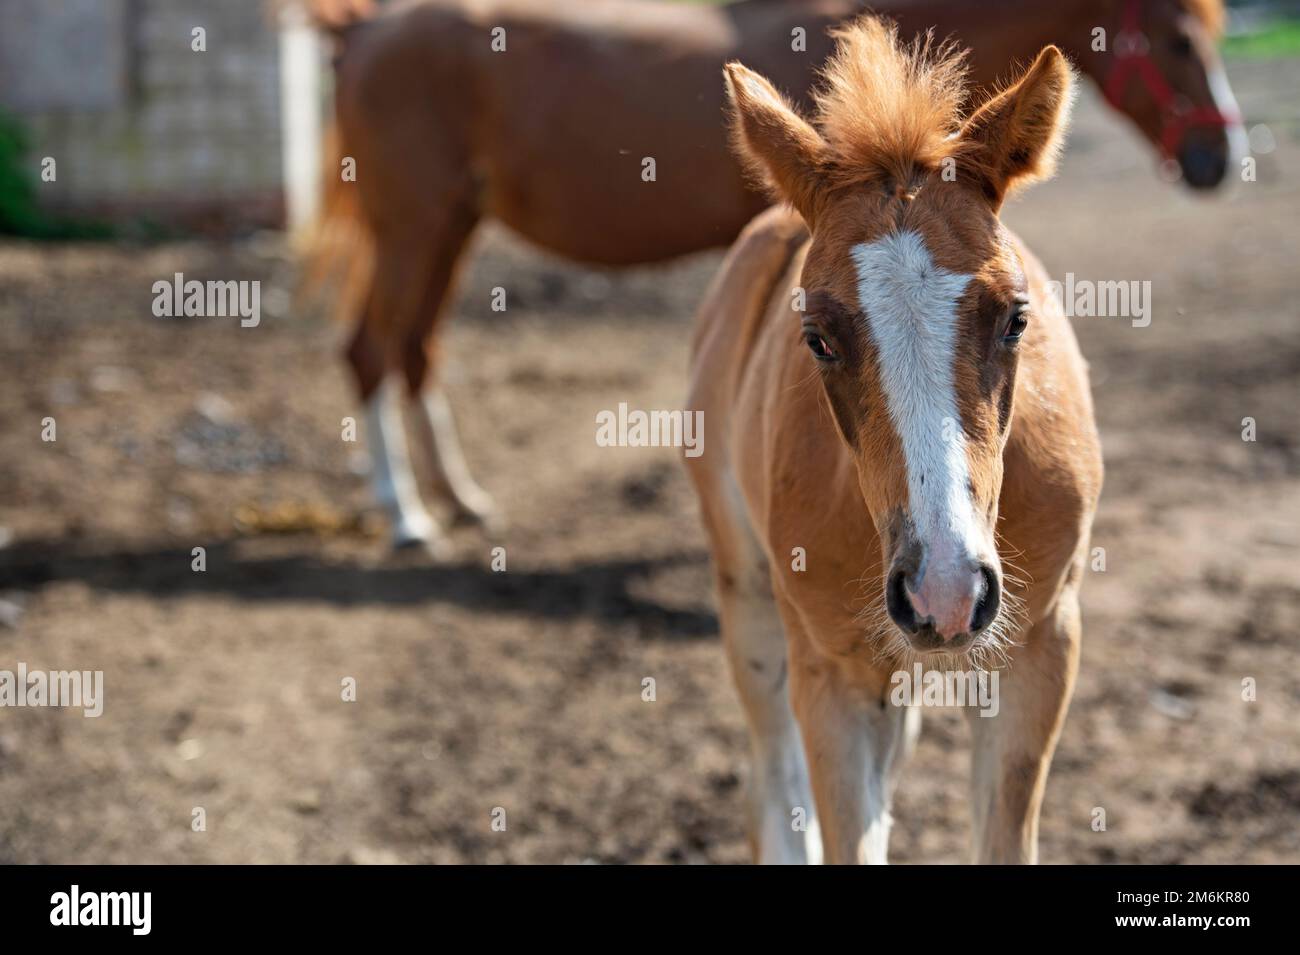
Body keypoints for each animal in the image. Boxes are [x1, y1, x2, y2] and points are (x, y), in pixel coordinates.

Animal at [306, 0, 1227, 548]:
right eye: (1182, 39)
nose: (1220, 158)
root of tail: (362, 30)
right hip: (412, 226)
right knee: (369, 352)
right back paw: (407, 514)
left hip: (447, 229)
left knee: (415, 351)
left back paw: (457, 495)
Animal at [686, 14, 1102, 867]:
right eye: (816, 337)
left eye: (1016, 318)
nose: (945, 590)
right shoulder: (832, 679)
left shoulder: (1043, 650)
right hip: (749, 599)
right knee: (774, 784)